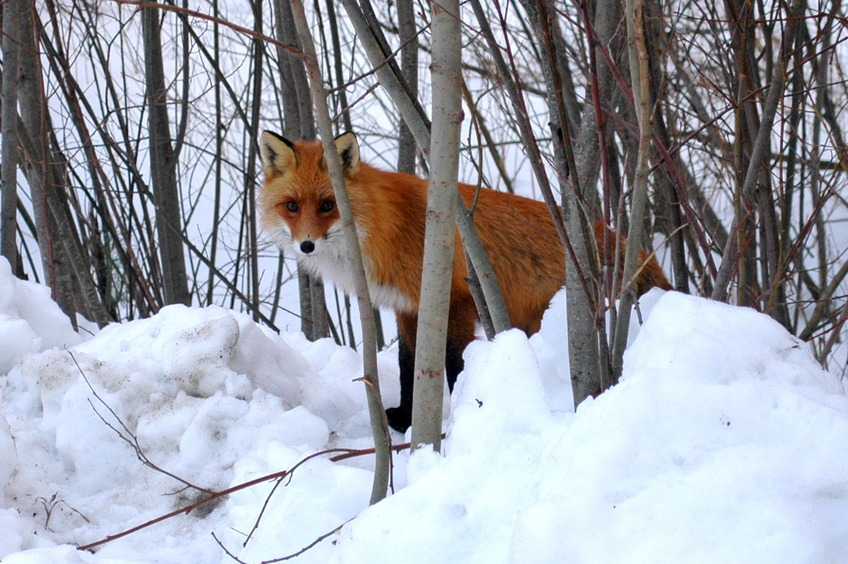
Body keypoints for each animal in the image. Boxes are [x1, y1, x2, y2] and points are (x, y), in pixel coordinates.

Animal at [258, 131, 668, 432]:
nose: (306, 245)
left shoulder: (454, 303)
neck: (387, 227)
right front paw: (405, 419)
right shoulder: (408, 307)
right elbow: (410, 367)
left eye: (328, 205)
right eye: (292, 206)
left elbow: (455, 366)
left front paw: (463, 416)